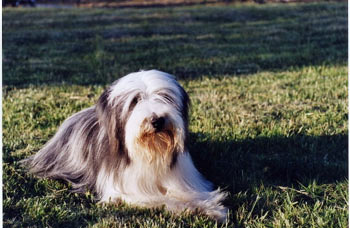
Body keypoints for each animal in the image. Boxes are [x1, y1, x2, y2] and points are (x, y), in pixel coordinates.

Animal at [23, 69, 228, 221]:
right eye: (135, 100)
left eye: (165, 97)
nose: (157, 120)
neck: (152, 151)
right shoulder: (126, 190)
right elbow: (162, 199)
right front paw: (190, 207)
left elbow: (189, 192)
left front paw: (211, 207)